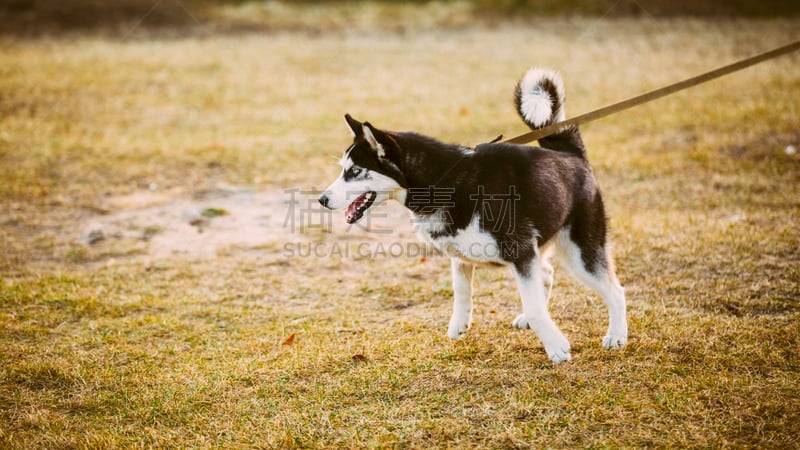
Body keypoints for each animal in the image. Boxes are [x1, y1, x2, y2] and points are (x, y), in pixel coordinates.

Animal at [318, 67, 624, 362]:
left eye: (355, 171)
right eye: (344, 169)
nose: (322, 199)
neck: (443, 180)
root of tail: (570, 154)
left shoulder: (520, 250)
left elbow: (535, 306)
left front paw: (557, 347)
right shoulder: (466, 254)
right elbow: (462, 292)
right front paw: (459, 324)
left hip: (579, 252)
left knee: (615, 290)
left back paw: (617, 336)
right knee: (547, 272)